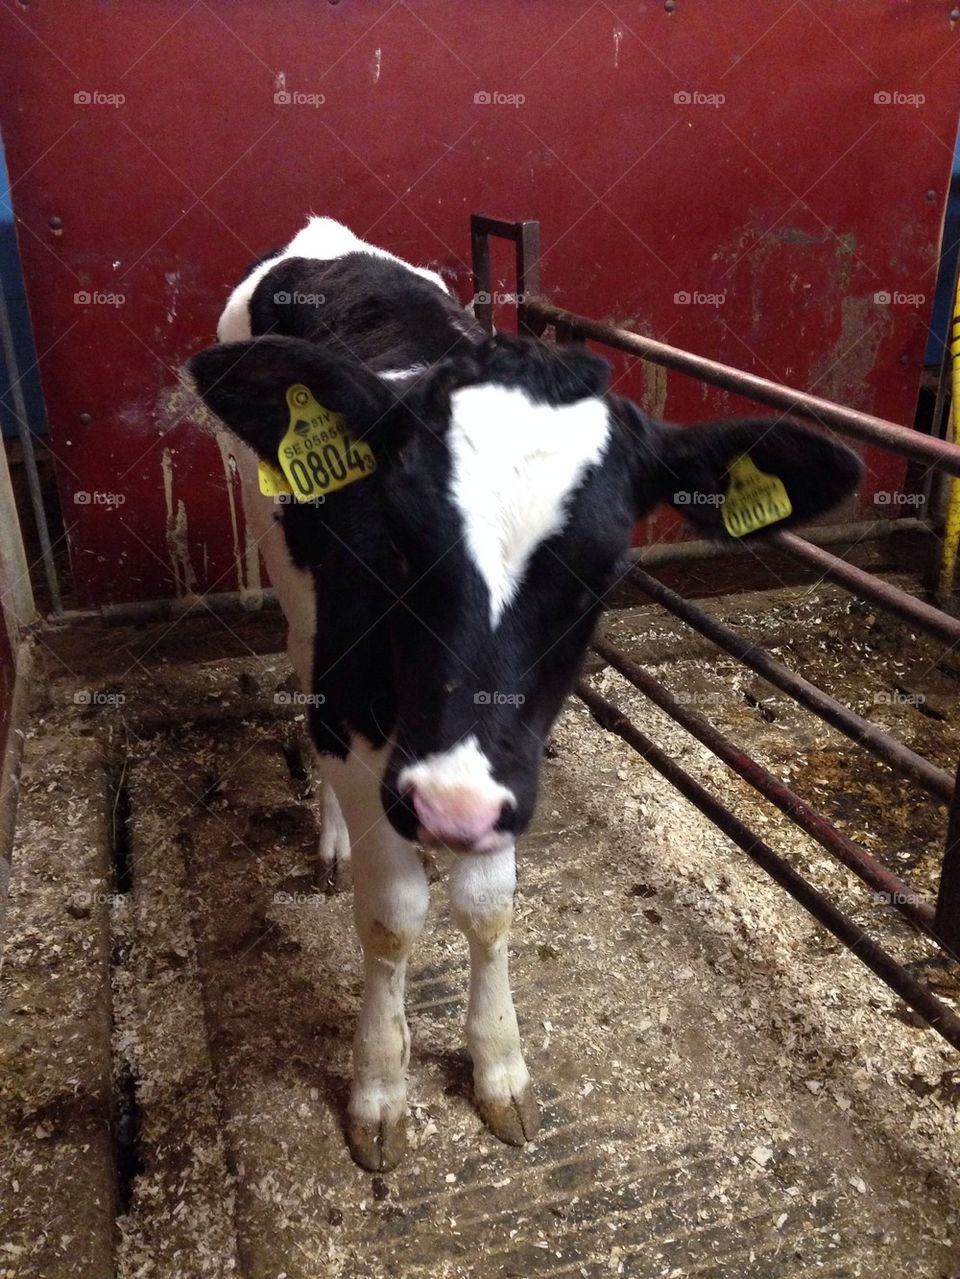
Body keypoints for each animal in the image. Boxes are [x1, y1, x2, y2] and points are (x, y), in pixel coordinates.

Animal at [188, 216, 862, 1171]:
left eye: (603, 571)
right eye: (397, 538)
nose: (447, 806)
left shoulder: (507, 763)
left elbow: (488, 907)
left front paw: (499, 1064)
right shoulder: (361, 718)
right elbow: (393, 917)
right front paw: (380, 1086)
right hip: (284, 573)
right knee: (296, 657)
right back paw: (331, 838)